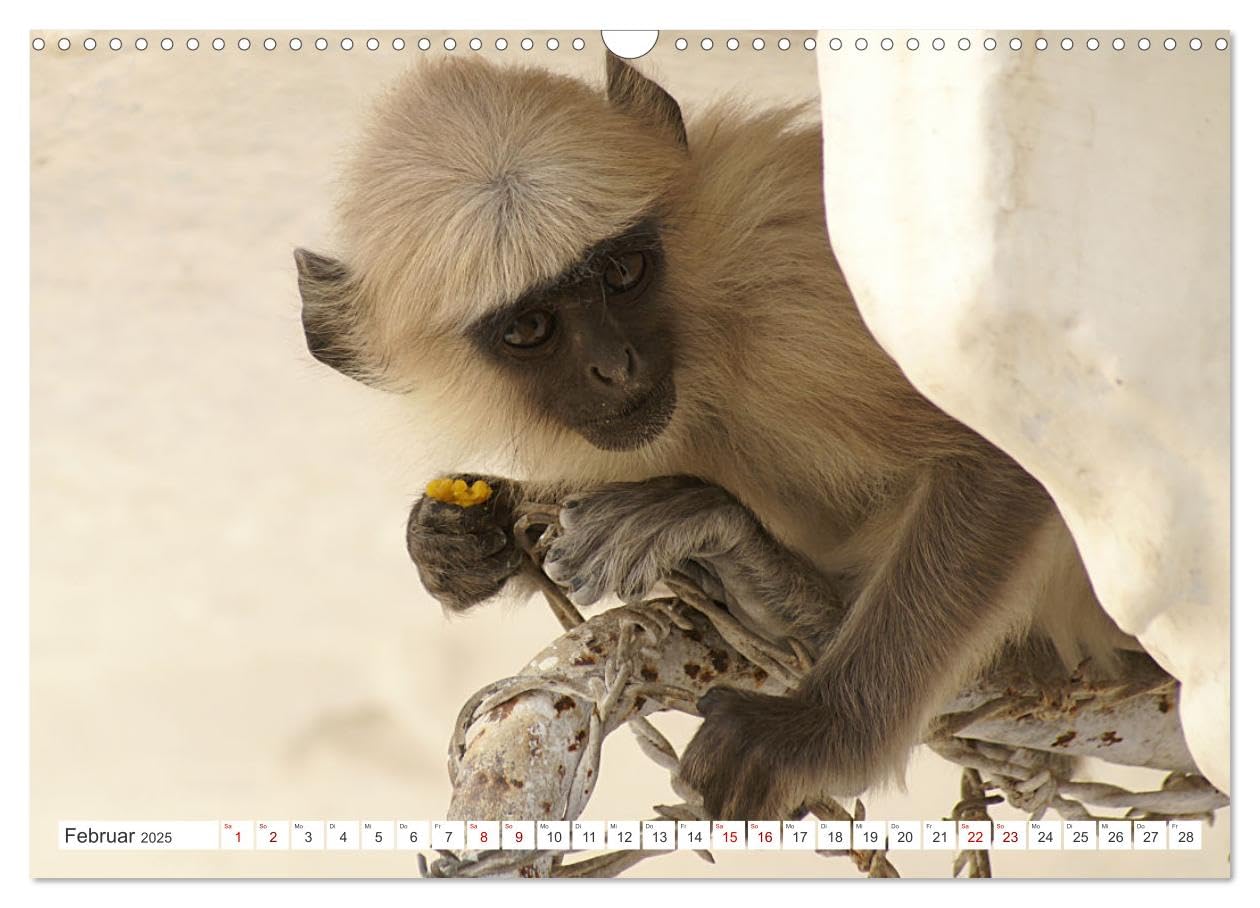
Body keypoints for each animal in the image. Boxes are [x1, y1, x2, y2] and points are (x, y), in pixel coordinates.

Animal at [295, 51, 1140, 821]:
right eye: (531, 327)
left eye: (625, 274)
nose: (615, 365)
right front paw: (462, 541)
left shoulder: (791, 285)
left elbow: (1010, 452)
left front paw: (817, 733)